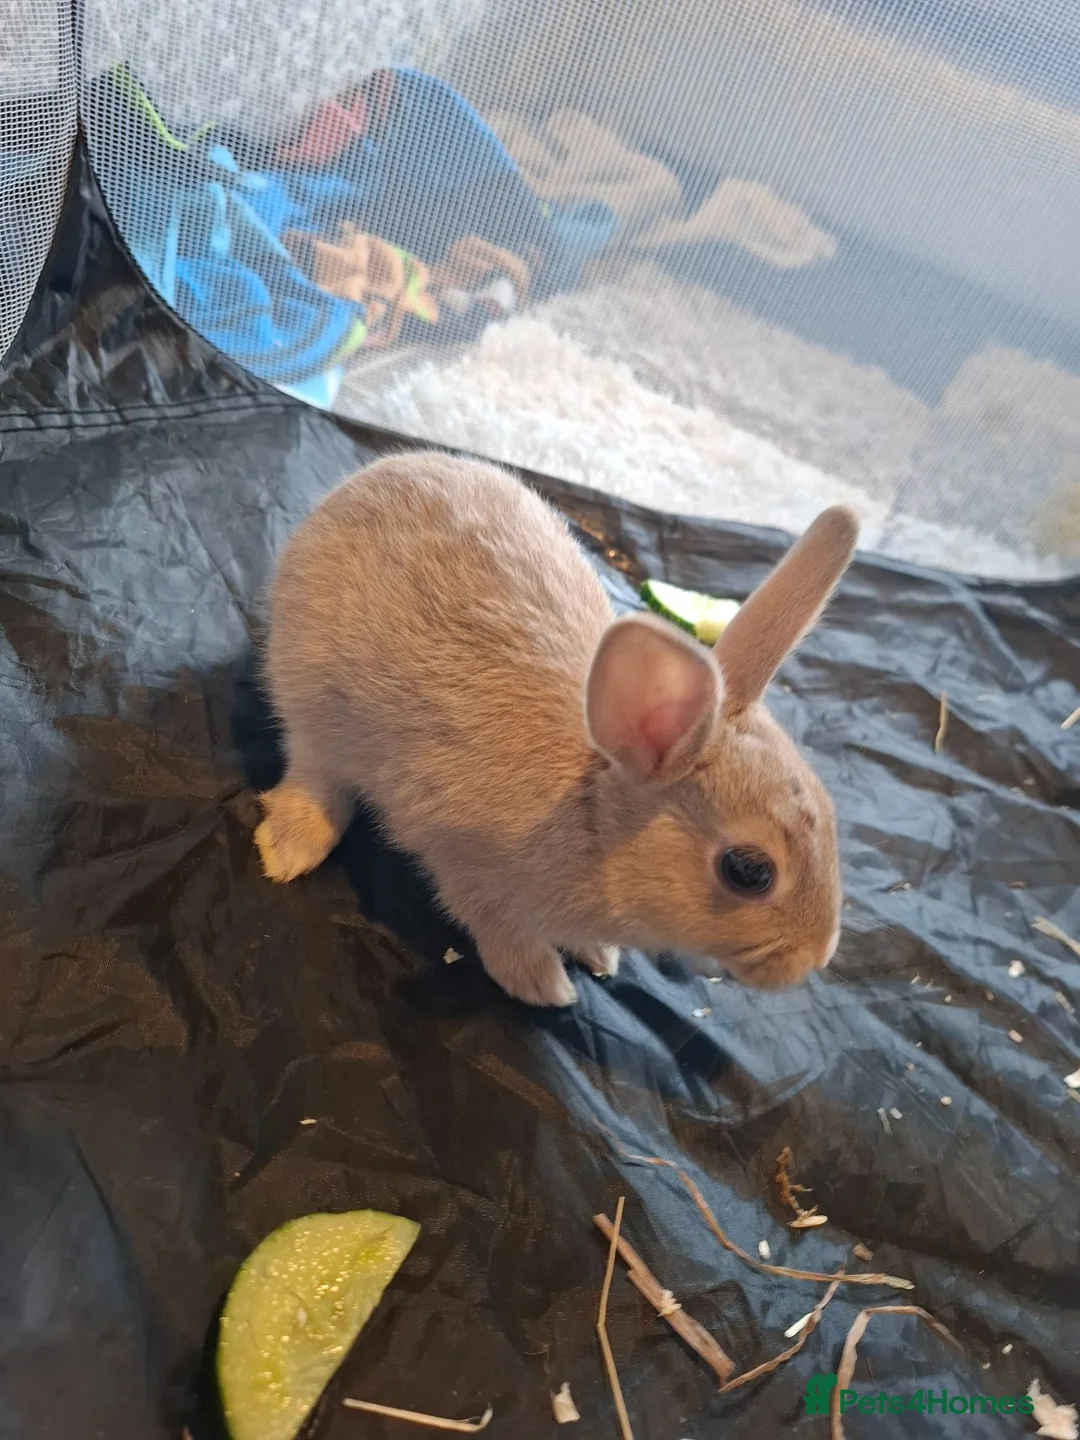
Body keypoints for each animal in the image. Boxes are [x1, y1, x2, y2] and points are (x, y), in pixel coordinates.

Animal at [255, 450, 858, 1007]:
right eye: (749, 871)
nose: (816, 956)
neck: (592, 818)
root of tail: (356, 484)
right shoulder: (469, 870)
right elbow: (501, 932)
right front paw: (546, 987)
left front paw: (600, 957)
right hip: (309, 697)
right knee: (314, 770)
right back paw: (287, 850)